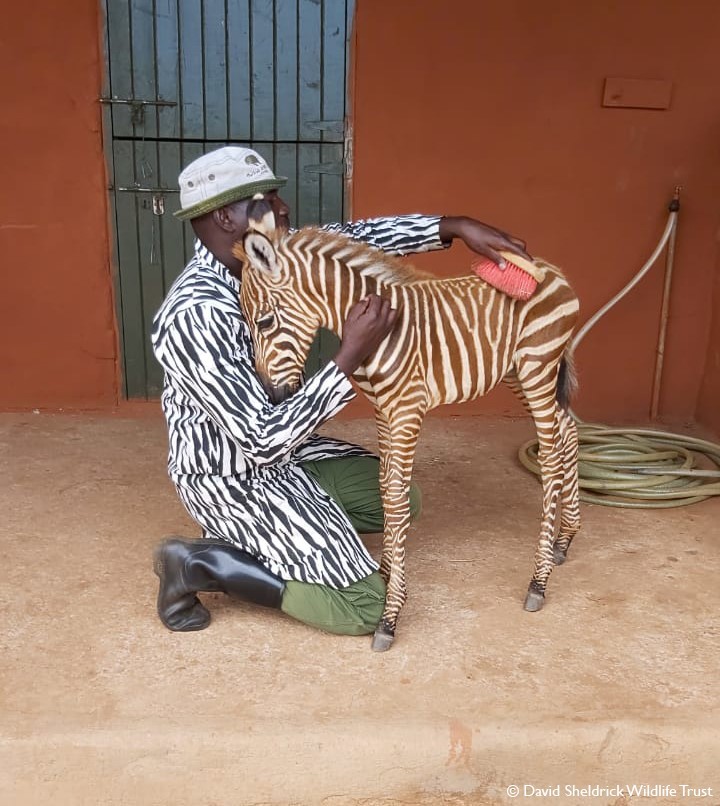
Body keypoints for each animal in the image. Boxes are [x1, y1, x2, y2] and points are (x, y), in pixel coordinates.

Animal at [233, 224, 584, 652]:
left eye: (265, 323)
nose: (272, 398)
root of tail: (548, 269)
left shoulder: (406, 409)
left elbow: (398, 500)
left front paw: (390, 615)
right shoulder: (384, 411)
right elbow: (386, 489)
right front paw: (385, 572)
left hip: (537, 366)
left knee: (551, 457)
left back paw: (539, 580)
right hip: (518, 372)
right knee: (568, 431)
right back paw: (564, 540)